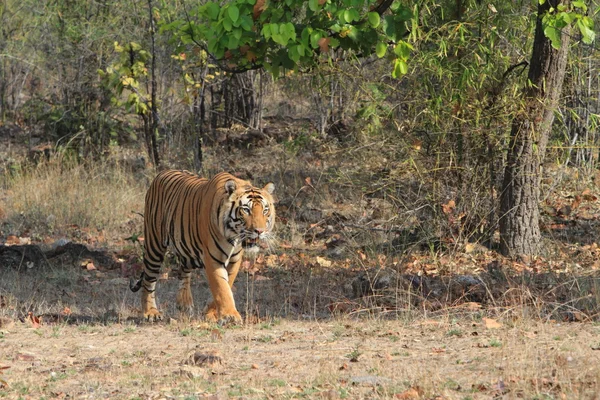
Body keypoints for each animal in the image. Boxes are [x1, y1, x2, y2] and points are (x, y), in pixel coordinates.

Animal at [130, 170, 276, 324]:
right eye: (246, 210)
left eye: (265, 210)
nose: (259, 231)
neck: (234, 236)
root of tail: (161, 173)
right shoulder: (212, 259)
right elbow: (221, 287)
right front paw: (230, 315)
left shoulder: (235, 260)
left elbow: (227, 284)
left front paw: (211, 314)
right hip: (154, 245)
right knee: (148, 280)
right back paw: (151, 312)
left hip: (186, 249)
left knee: (183, 271)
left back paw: (184, 303)